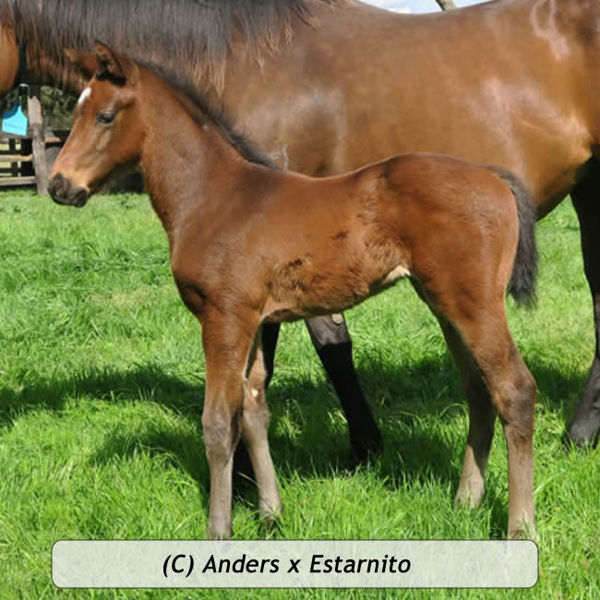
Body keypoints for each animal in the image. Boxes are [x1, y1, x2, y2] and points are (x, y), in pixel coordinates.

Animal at [0, 0, 596, 454]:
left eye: (103, 116)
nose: (60, 186)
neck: (237, 59)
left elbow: (278, 357)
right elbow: (321, 342)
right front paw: (361, 447)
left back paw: (578, 434)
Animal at [48, 42, 540, 540]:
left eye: (105, 116)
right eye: (77, 109)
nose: (58, 185)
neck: (213, 198)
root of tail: (495, 177)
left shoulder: (223, 317)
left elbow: (218, 421)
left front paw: (219, 529)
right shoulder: (254, 319)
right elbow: (253, 409)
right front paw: (270, 512)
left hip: (474, 303)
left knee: (514, 390)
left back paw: (519, 527)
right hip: (443, 302)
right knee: (478, 390)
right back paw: (466, 501)